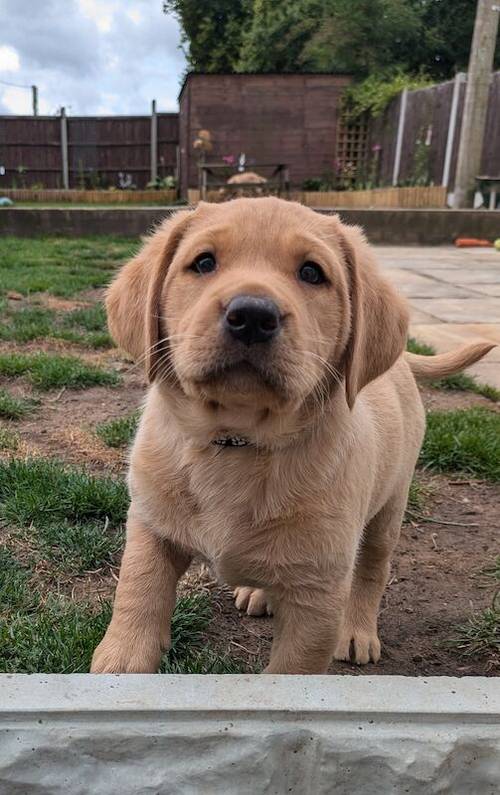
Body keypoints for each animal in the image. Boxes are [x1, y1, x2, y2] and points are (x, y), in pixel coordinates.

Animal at [92, 197, 494, 672]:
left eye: (311, 273)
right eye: (204, 262)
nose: (252, 315)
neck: (239, 440)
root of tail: (400, 363)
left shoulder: (318, 594)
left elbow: (290, 670)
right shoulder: (151, 526)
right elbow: (137, 592)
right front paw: (121, 660)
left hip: (389, 506)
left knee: (373, 570)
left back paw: (358, 630)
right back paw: (258, 591)